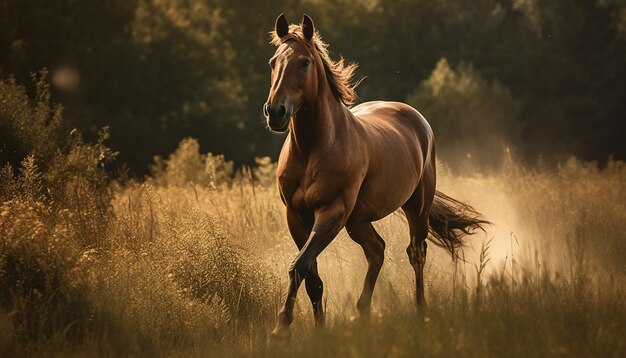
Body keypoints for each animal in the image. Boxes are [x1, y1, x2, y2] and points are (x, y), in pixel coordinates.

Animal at [264, 14, 488, 338]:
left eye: (304, 62)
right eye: (273, 62)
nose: (275, 112)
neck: (313, 149)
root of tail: (415, 117)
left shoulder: (331, 212)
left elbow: (300, 266)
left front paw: (280, 328)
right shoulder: (296, 216)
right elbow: (311, 276)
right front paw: (318, 331)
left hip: (415, 207)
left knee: (416, 253)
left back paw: (421, 313)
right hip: (358, 220)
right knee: (377, 250)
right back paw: (362, 313)